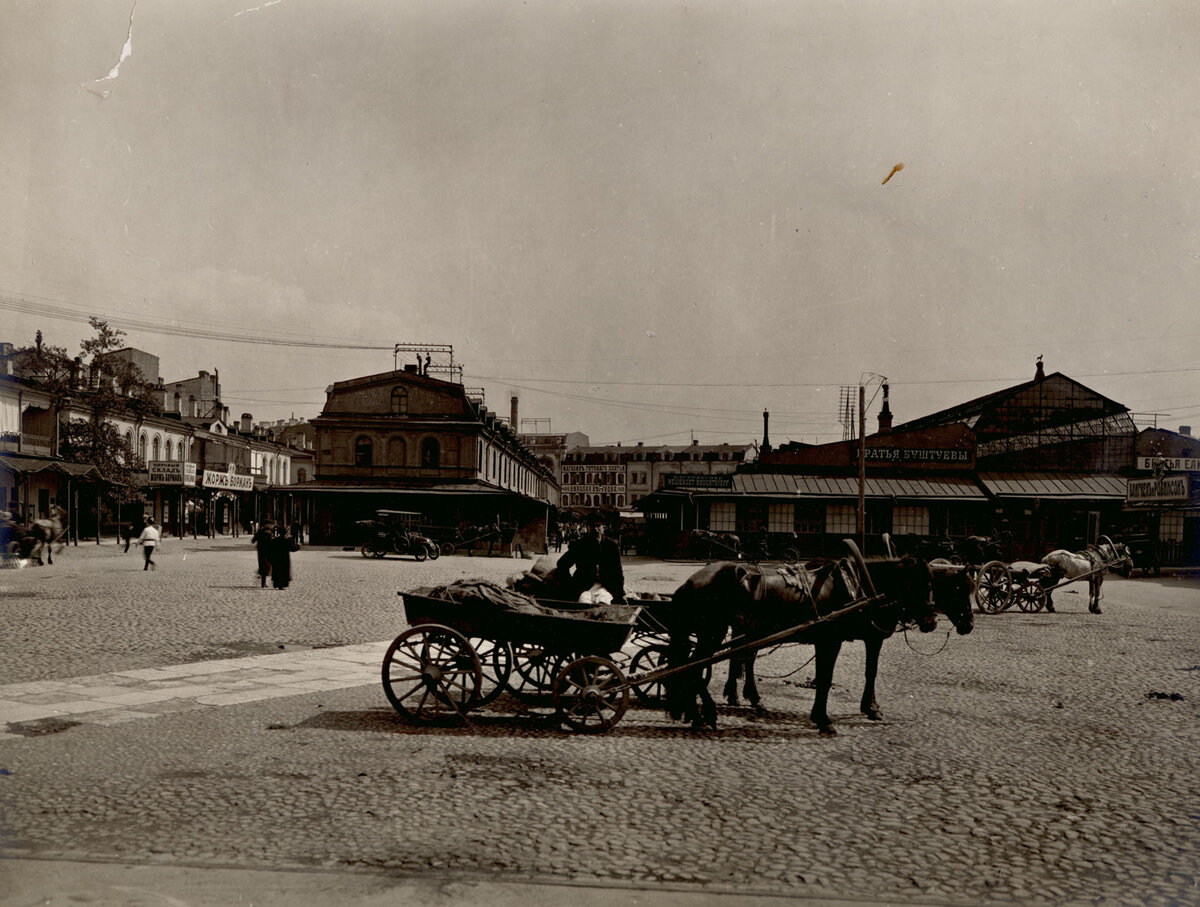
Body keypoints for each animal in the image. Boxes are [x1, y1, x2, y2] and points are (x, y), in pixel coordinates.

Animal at [662, 544, 950, 739]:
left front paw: (869, 708)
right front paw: (824, 719)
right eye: (925, 584)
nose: (931, 621)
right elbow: (825, 679)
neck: (858, 587)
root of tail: (690, 582)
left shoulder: (866, 638)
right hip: (713, 631)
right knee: (694, 668)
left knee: (700, 666)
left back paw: (701, 711)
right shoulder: (831, 640)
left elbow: (868, 672)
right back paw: (704, 714)